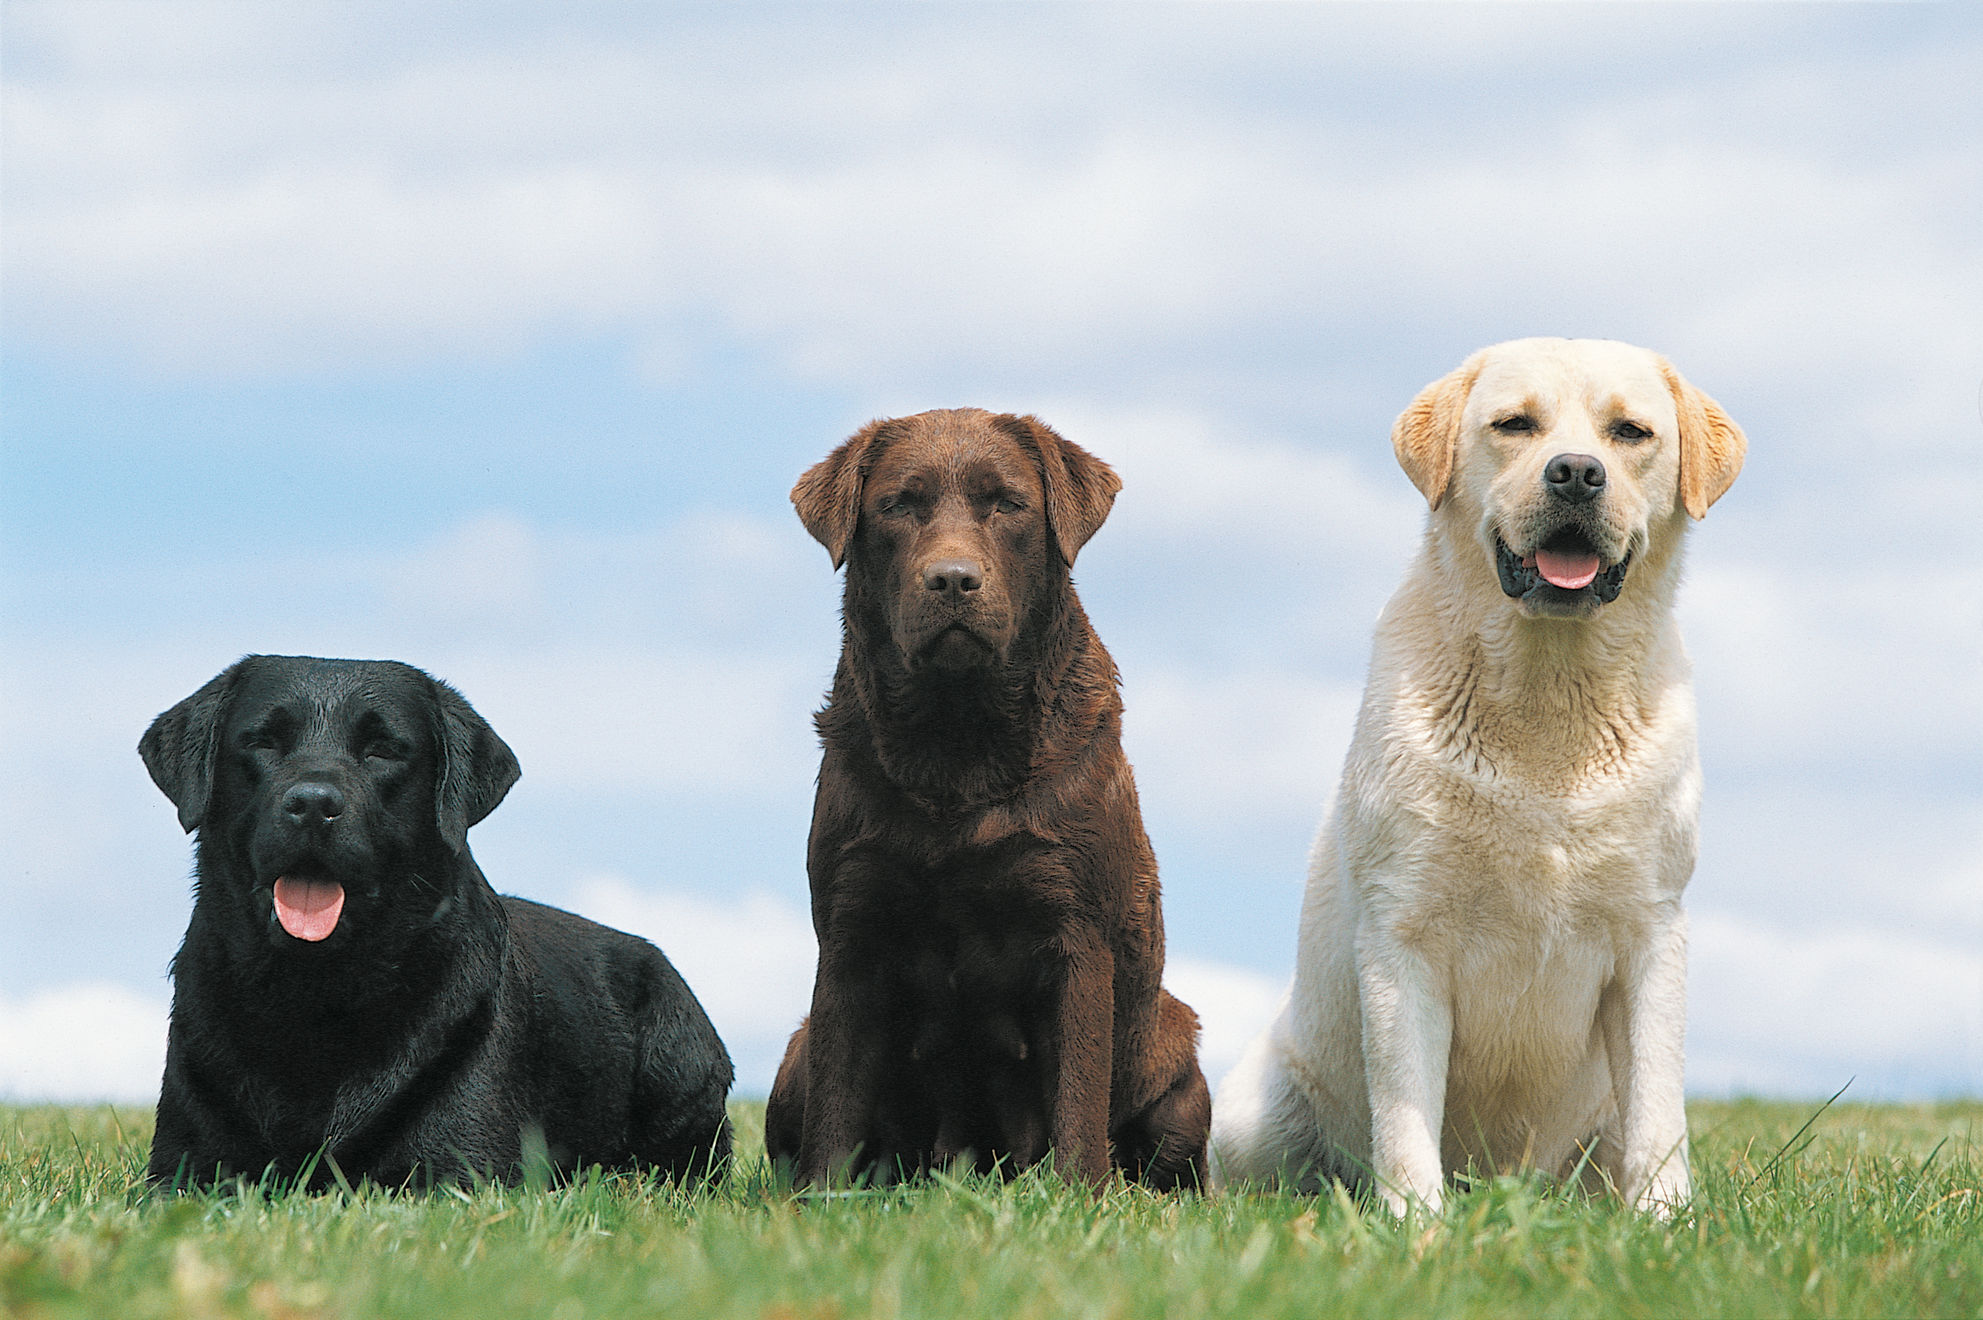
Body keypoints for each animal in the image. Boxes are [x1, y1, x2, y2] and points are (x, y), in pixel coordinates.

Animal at [141, 654, 737, 1181]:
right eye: (262, 742)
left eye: (383, 750)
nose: (312, 803)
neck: (317, 995)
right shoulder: (183, 1171)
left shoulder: (460, 1175)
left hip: (676, 1053)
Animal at [765, 408, 1205, 1181]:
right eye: (897, 505)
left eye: (1006, 504)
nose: (952, 579)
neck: (957, 745)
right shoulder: (849, 930)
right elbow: (836, 1106)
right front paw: (819, 1197)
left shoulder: (1077, 932)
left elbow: (1078, 1098)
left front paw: (1081, 1195)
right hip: (794, 1054)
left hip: (1177, 1052)